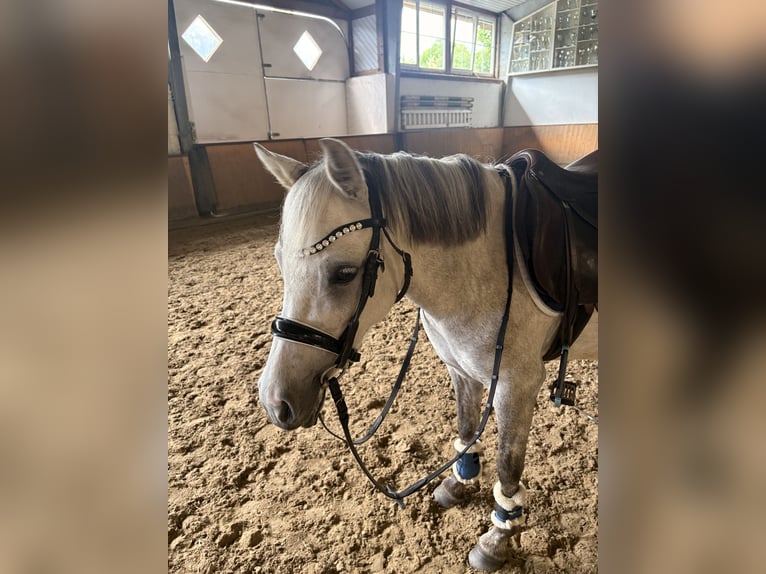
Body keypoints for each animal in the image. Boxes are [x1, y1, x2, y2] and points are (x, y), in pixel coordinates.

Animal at [254, 138, 598, 571]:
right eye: (279, 263)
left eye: (344, 274)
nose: (275, 402)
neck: (490, 264)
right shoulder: (462, 370)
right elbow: (466, 429)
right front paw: (459, 484)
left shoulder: (516, 387)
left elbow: (508, 467)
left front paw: (497, 538)